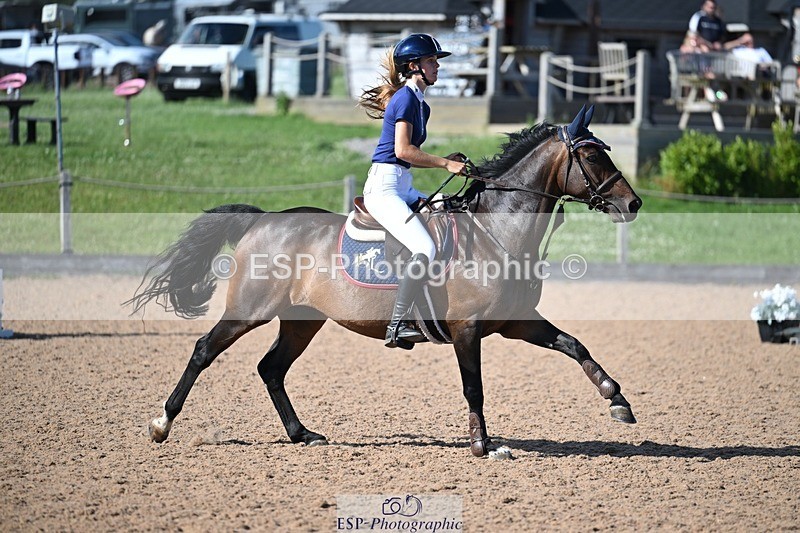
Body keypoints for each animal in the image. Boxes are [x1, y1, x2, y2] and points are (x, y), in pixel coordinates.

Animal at [128, 105, 642, 457]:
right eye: (592, 155)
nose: (633, 203)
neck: (495, 230)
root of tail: (264, 219)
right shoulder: (467, 330)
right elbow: (473, 387)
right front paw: (483, 445)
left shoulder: (517, 322)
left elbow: (575, 345)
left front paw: (617, 400)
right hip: (248, 311)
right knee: (204, 351)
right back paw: (161, 423)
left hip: (302, 321)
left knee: (271, 368)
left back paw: (302, 434)